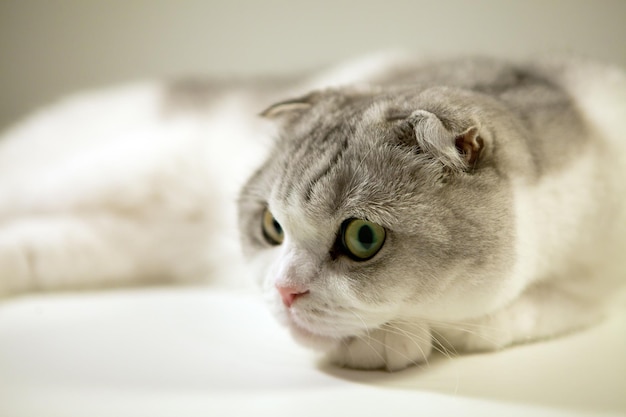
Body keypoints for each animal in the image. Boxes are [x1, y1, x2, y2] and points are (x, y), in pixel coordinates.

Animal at [1, 54, 624, 370]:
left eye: (364, 237)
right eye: (270, 227)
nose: (283, 290)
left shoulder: (587, 289)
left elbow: (504, 321)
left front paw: (398, 338)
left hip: (110, 239)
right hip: (108, 170)